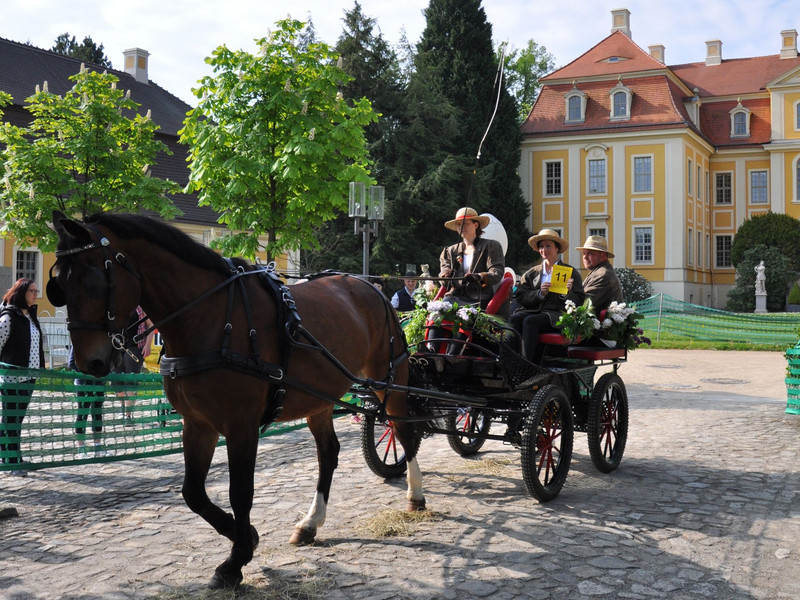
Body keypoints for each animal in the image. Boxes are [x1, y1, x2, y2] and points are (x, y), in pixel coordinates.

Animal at [48, 212, 424, 592]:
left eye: (93, 280)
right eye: (59, 285)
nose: (89, 363)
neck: (212, 317)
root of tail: (370, 287)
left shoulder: (241, 426)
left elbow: (240, 491)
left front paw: (235, 561)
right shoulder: (198, 424)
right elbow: (193, 493)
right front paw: (246, 537)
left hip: (389, 379)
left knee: (403, 432)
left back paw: (416, 496)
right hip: (319, 399)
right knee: (328, 452)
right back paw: (310, 523)